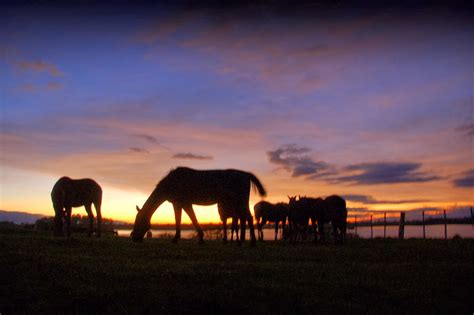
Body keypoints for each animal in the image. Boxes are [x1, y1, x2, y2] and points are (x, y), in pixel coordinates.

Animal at [131, 167, 266, 246]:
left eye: (139, 221)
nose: (134, 237)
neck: (172, 182)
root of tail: (245, 174)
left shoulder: (185, 203)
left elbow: (192, 218)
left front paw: (199, 239)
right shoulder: (178, 203)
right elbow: (179, 220)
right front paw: (178, 238)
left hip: (240, 201)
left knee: (248, 217)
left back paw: (252, 242)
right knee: (246, 218)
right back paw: (242, 241)